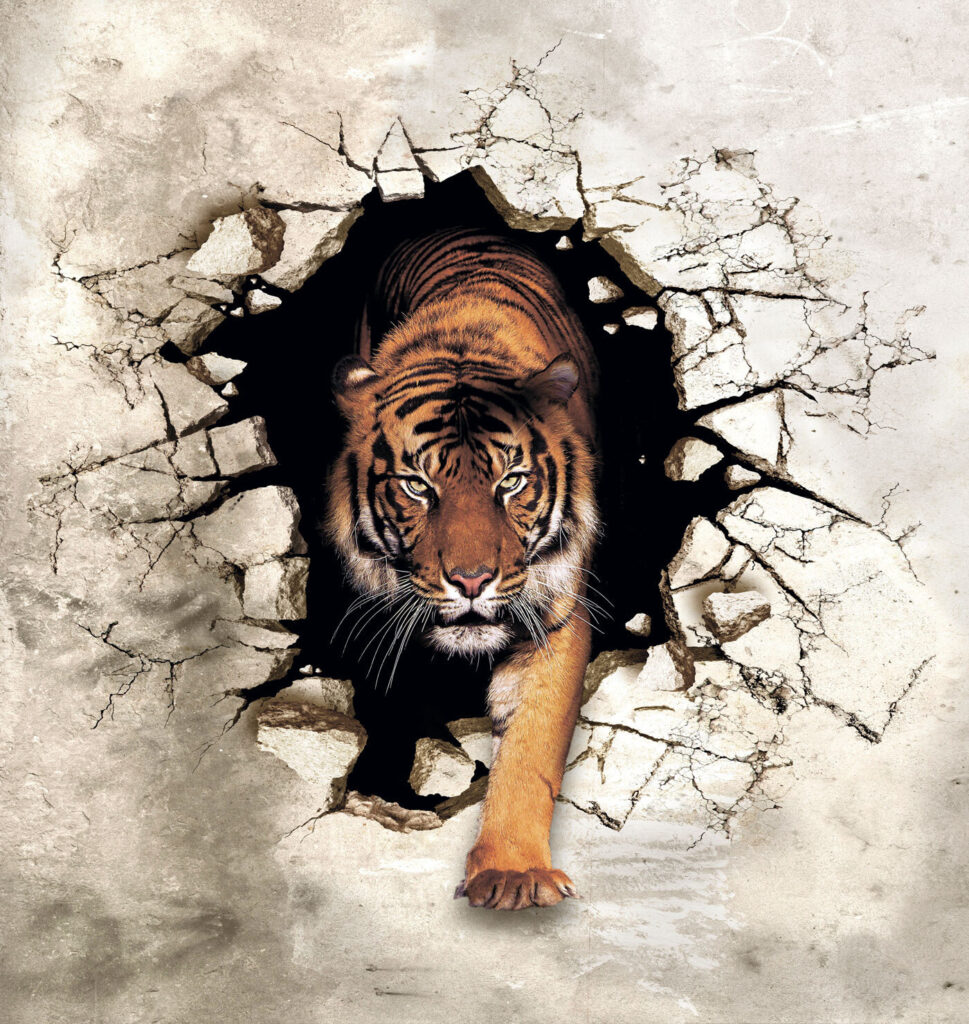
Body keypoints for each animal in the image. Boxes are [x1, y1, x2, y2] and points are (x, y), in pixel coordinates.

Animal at [326, 226, 600, 910]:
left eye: (512, 482)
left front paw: (514, 873)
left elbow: (531, 748)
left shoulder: (556, 618)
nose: (473, 581)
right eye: (417, 487)